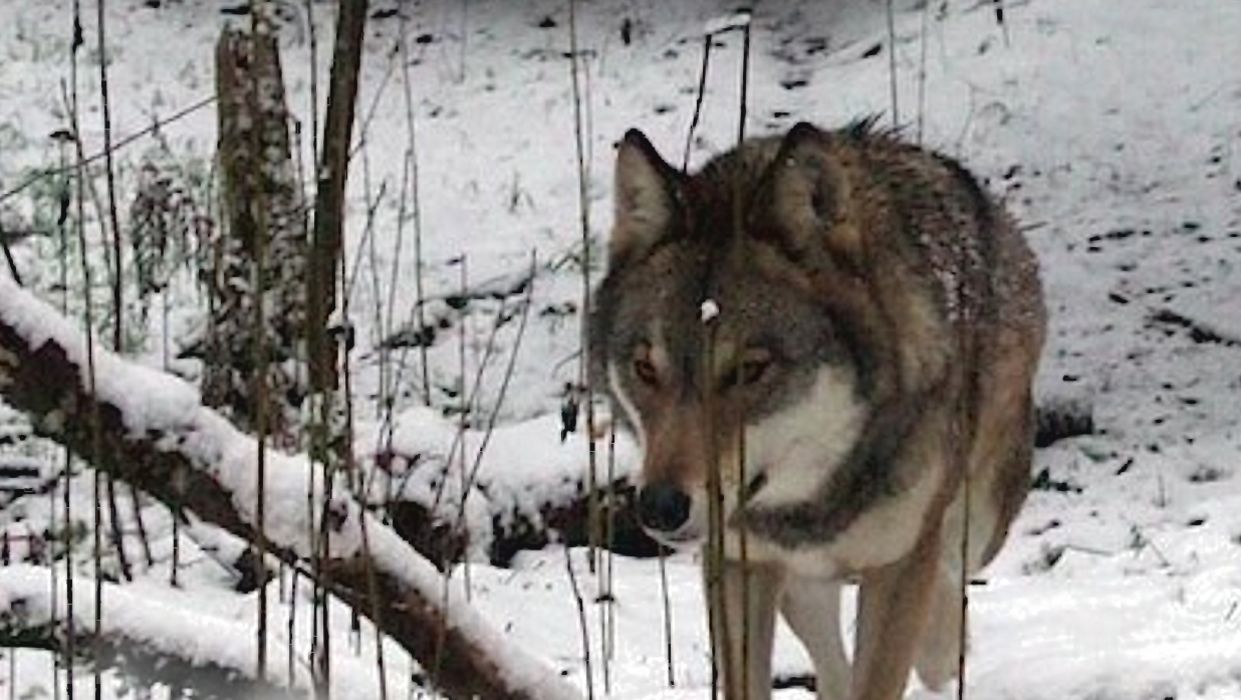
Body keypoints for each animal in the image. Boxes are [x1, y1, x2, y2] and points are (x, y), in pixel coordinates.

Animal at [590, 121, 1047, 700]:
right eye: (646, 369)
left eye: (750, 369)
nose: (660, 507)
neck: (815, 499)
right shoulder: (738, 562)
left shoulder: (899, 565)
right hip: (800, 585)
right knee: (832, 659)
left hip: (981, 515)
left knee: (944, 599)